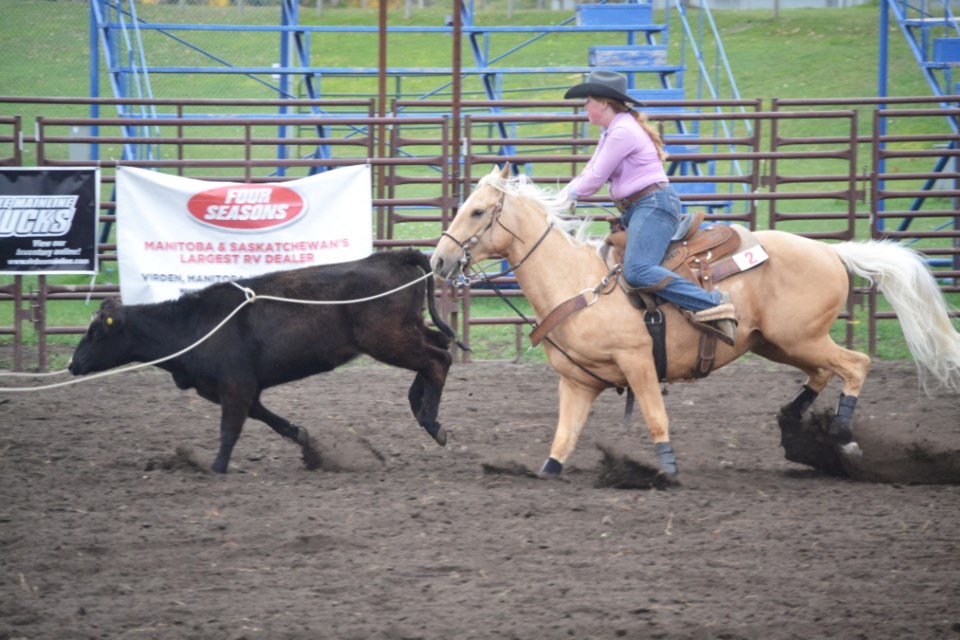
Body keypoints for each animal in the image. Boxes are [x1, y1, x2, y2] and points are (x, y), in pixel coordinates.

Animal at [432, 165, 960, 480]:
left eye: (477, 211)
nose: (438, 260)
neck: (577, 282)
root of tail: (832, 251)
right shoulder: (578, 381)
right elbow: (564, 436)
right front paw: (547, 471)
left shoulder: (639, 362)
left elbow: (654, 416)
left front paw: (666, 471)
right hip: (776, 342)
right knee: (822, 372)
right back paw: (796, 428)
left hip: (800, 337)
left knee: (855, 364)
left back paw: (844, 441)